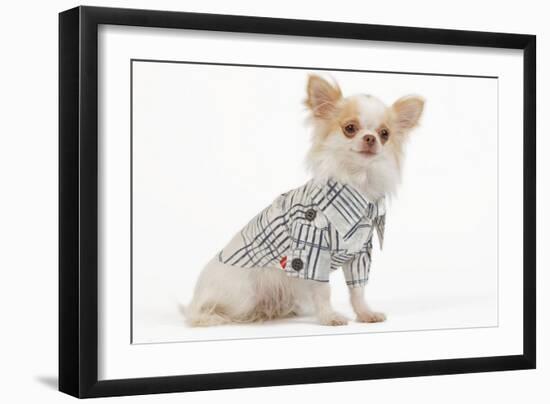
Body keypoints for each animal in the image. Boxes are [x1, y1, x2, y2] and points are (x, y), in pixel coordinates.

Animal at [187, 74, 426, 326]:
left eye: (385, 134)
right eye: (350, 128)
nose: (371, 138)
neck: (358, 182)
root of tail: (194, 298)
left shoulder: (360, 253)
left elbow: (358, 290)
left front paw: (365, 314)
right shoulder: (311, 252)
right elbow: (323, 290)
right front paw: (330, 317)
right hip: (245, 291)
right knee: (211, 309)